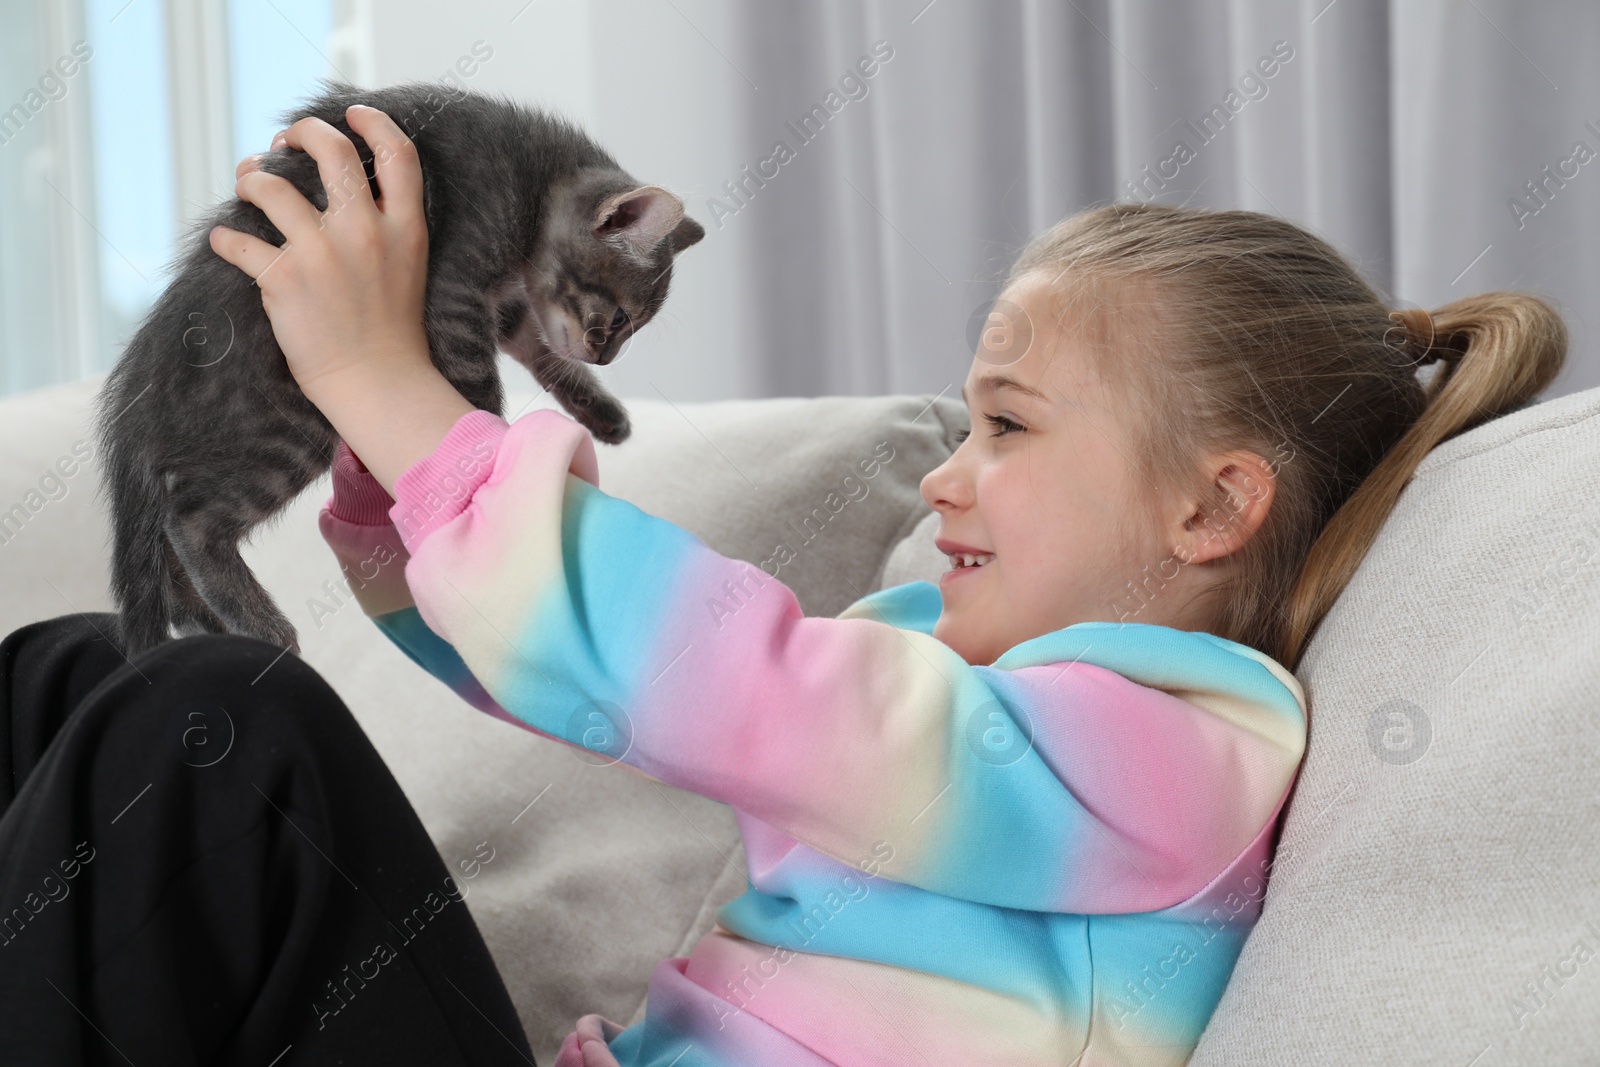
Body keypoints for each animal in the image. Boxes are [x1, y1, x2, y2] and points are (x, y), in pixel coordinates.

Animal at [92, 79, 707, 659]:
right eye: (620, 318)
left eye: (635, 327)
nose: (606, 356)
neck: (536, 180)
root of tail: (135, 393)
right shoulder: (456, 294)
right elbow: (481, 386)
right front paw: (490, 454)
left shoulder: (508, 306)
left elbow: (543, 350)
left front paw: (603, 413)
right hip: (286, 427)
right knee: (187, 518)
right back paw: (263, 624)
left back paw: (203, 617)